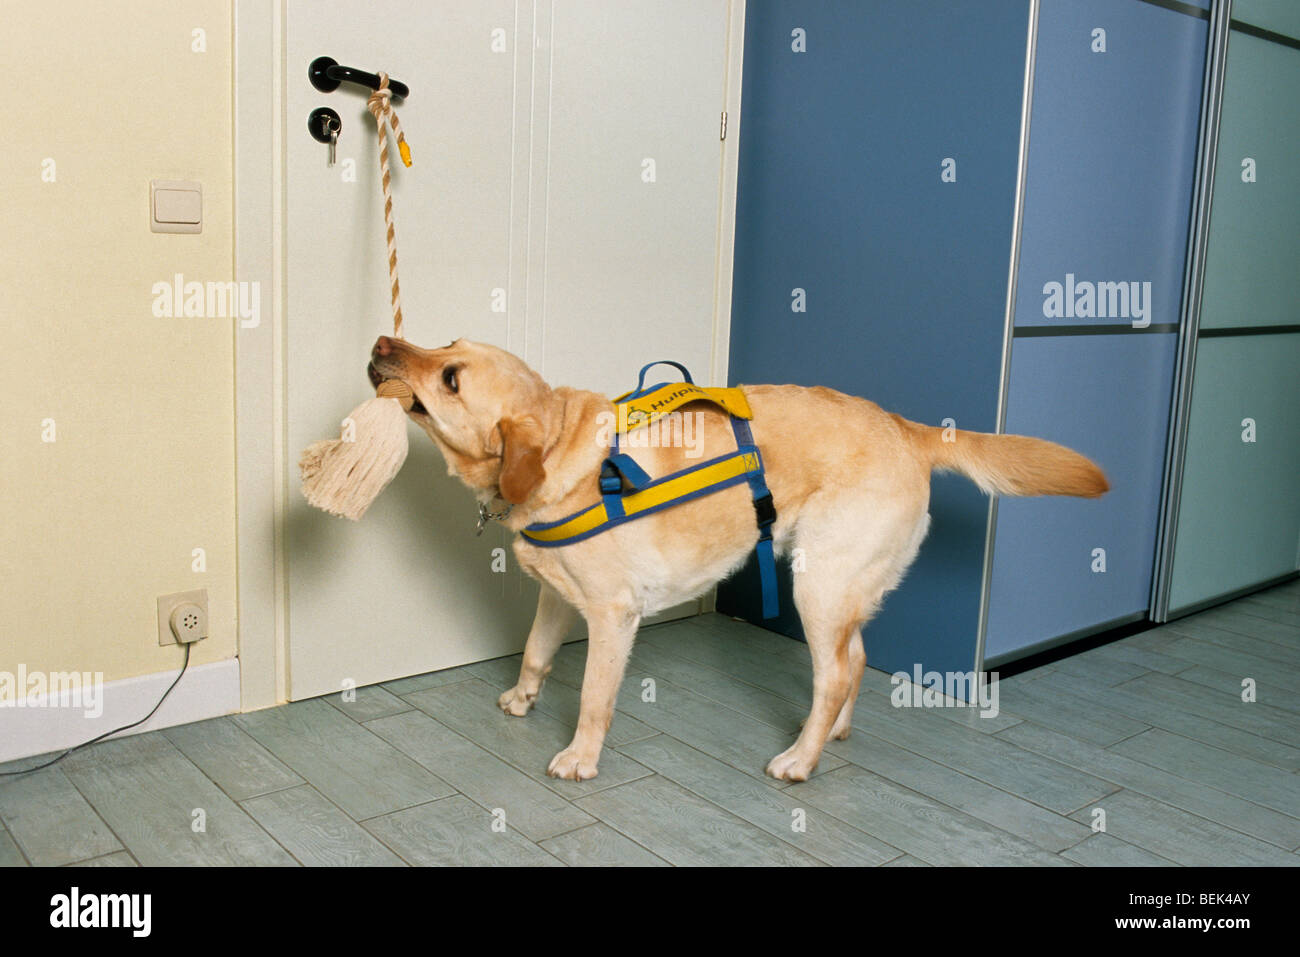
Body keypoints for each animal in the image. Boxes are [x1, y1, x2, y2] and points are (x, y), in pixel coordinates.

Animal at [366, 335, 1107, 780]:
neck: (562, 452)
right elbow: (535, 651)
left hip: (817, 584)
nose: (380, 342)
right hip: (841, 585)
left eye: (451, 377)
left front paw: (580, 755)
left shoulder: (612, 614)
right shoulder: (558, 594)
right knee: (856, 659)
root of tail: (907, 428)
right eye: (447, 343)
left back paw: (801, 757)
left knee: (835, 674)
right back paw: (832, 735)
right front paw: (522, 697)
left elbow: (594, 696)